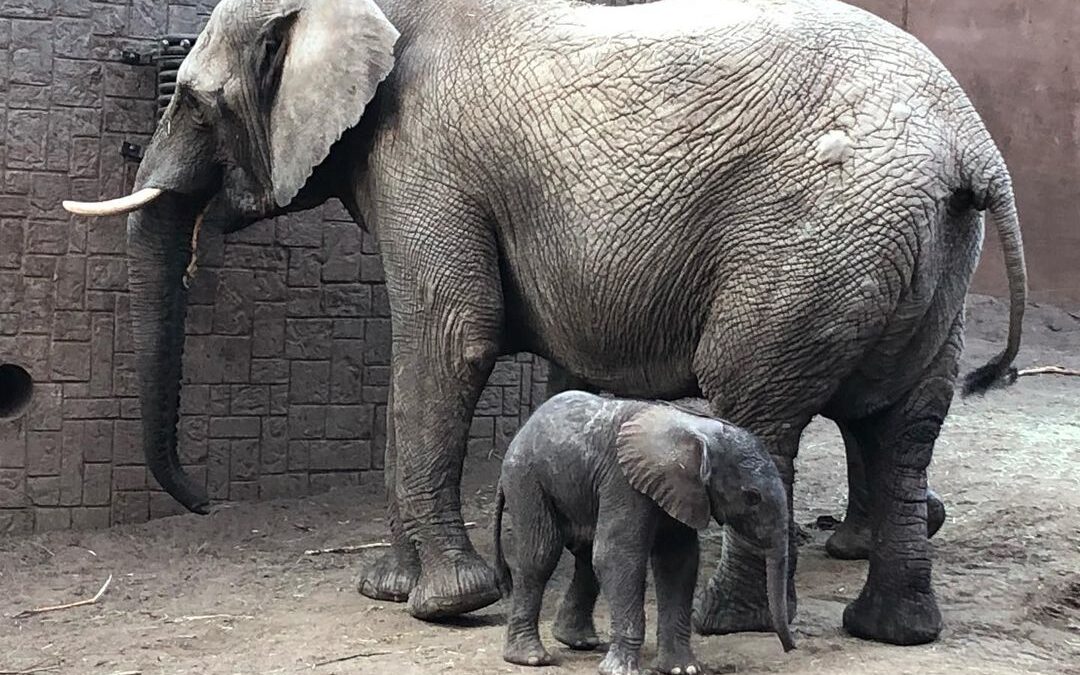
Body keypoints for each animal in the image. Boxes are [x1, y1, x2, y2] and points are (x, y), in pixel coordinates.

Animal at [63, 0, 1023, 643]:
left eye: (194, 101)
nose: (202, 500)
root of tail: (973, 147)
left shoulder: (424, 157)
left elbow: (447, 339)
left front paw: (444, 602)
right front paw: (392, 589)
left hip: (812, 240)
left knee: (763, 403)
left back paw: (726, 622)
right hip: (919, 253)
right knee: (903, 427)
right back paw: (893, 627)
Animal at [494, 388, 794, 673]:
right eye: (752, 497)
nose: (790, 649)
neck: (695, 429)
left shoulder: (680, 491)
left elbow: (677, 562)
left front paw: (681, 668)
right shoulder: (624, 480)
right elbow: (617, 556)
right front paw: (620, 671)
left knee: (585, 556)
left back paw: (579, 642)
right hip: (526, 477)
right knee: (540, 555)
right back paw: (532, 658)